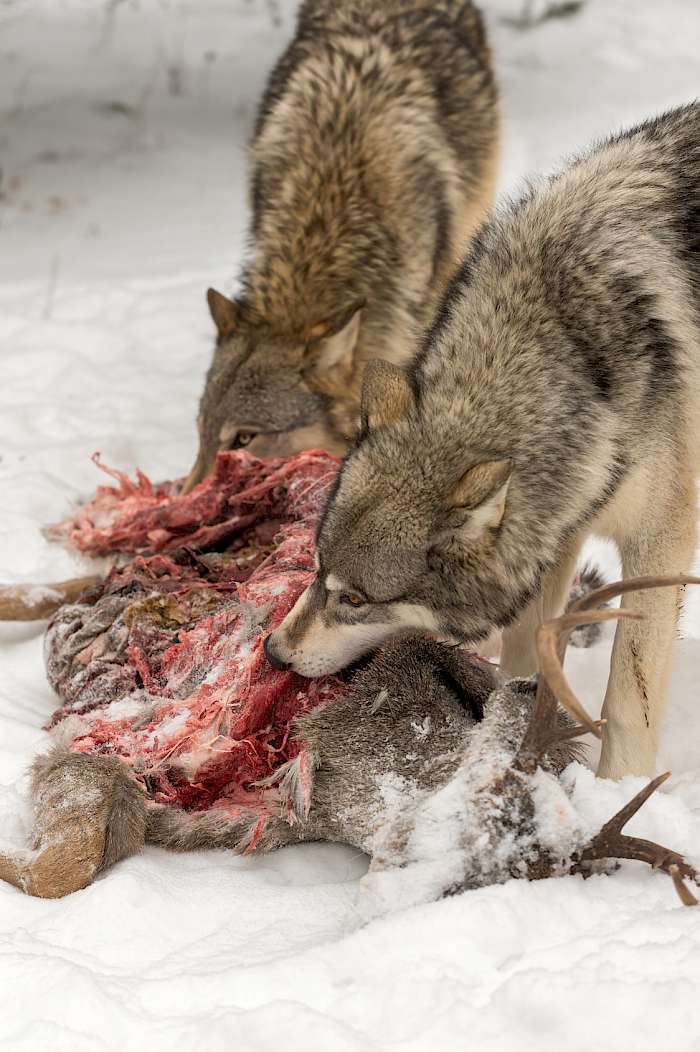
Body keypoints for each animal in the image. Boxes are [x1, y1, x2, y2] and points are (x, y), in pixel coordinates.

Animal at [265, 104, 698, 782]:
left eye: (357, 599)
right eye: (314, 566)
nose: (273, 654)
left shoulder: (659, 544)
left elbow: (630, 702)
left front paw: (616, 787)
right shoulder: (553, 538)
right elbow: (525, 659)